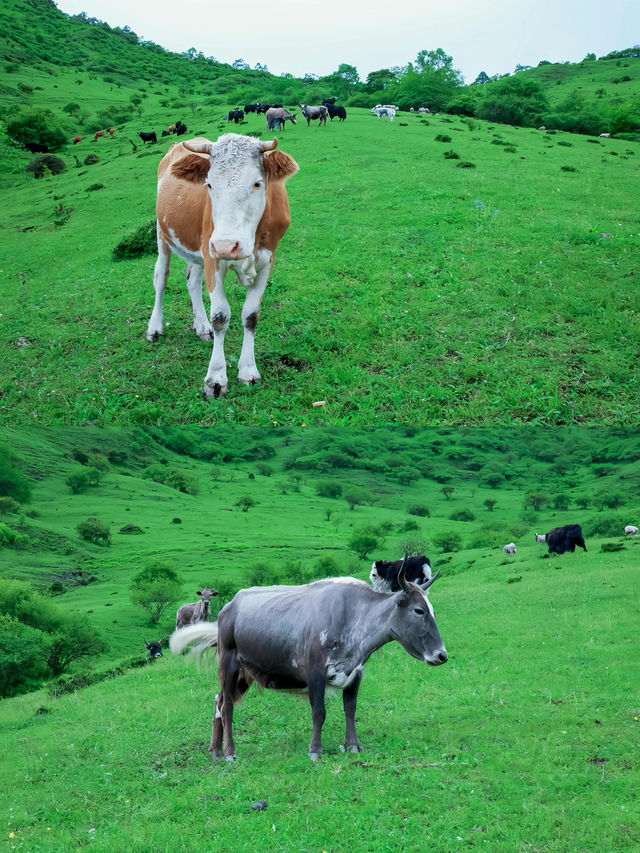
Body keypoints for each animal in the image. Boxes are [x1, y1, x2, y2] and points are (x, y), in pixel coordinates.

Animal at [148, 135, 300, 398]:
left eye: (257, 183)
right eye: (209, 185)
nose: (226, 245)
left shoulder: (268, 260)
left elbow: (250, 315)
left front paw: (248, 370)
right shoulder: (213, 257)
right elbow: (220, 315)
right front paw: (216, 378)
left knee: (192, 279)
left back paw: (201, 326)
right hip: (163, 232)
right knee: (161, 277)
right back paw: (155, 327)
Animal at [171, 560, 450, 760]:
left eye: (433, 611)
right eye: (419, 610)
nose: (441, 655)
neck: (353, 616)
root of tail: (229, 606)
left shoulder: (356, 672)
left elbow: (350, 709)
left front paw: (353, 745)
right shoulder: (315, 671)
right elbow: (319, 712)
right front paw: (315, 750)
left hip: (245, 674)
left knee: (218, 701)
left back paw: (216, 750)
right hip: (228, 663)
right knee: (227, 705)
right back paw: (229, 752)